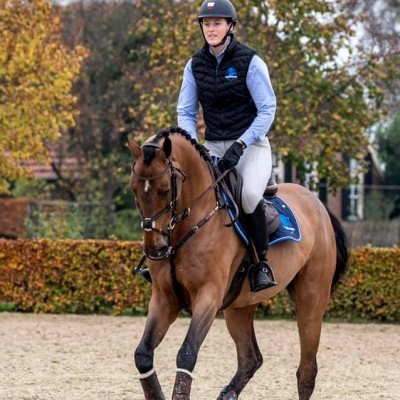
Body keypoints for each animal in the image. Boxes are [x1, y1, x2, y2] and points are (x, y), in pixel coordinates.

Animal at [126, 127, 348, 400]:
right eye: (134, 189)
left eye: (165, 189)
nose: (155, 248)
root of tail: (318, 205)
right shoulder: (164, 298)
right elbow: (143, 355)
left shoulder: (208, 297)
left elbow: (187, 354)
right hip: (239, 306)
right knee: (250, 358)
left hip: (311, 301)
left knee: (306, 370)